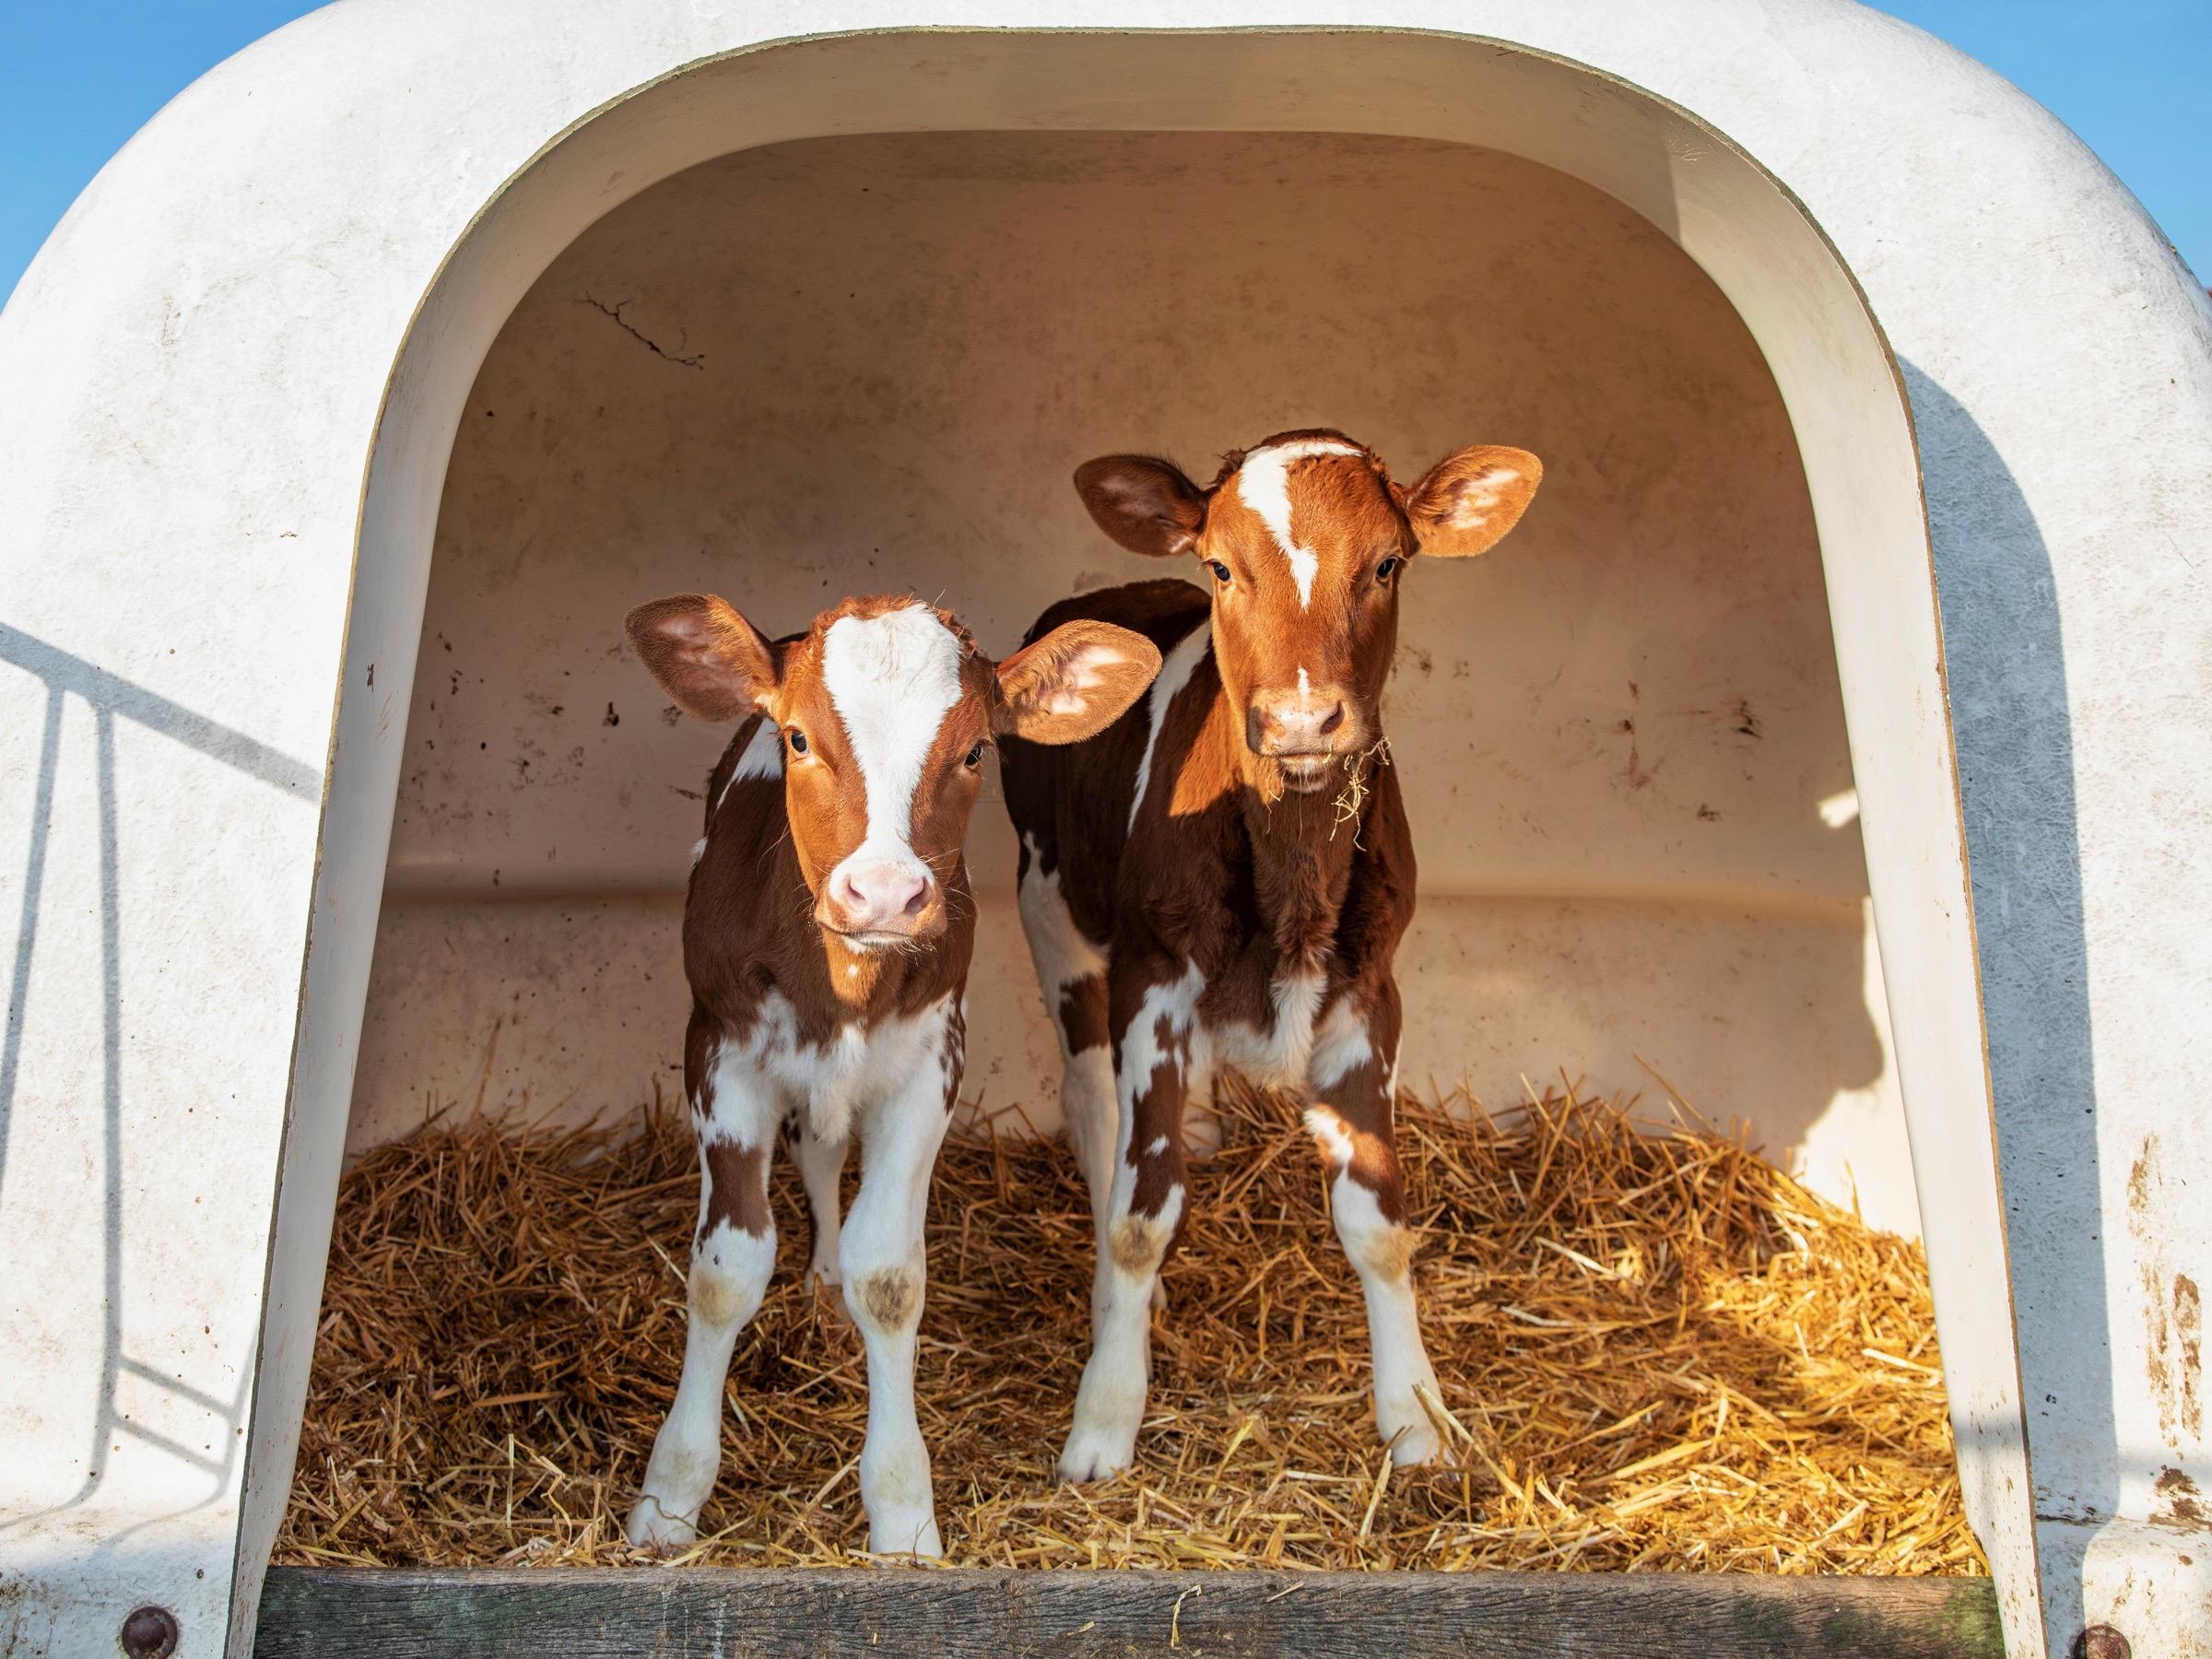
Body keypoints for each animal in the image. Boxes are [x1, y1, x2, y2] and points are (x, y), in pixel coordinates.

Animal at [615, 593, 1150, 1557]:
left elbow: (891, 1277)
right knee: (815, 1157)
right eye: (796, 737)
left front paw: (902, 1511)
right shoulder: (719, 1054)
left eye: (974, 752)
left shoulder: (931, 1063)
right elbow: (725, 1271)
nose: (886, 895)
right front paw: (671, 1498)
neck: (843, 982)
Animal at [1004, 424, 1539, 1477]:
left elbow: (1380, 1223)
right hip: (1054, 916)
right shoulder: (1153, 979)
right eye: (1220, 566)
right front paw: (1105, 1416)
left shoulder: (1370, 993)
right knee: (1091, 1103)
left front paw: (1414, 1413)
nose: (1301, 721)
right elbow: (1141, 1215)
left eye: (1387, 562)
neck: (1292, 871)